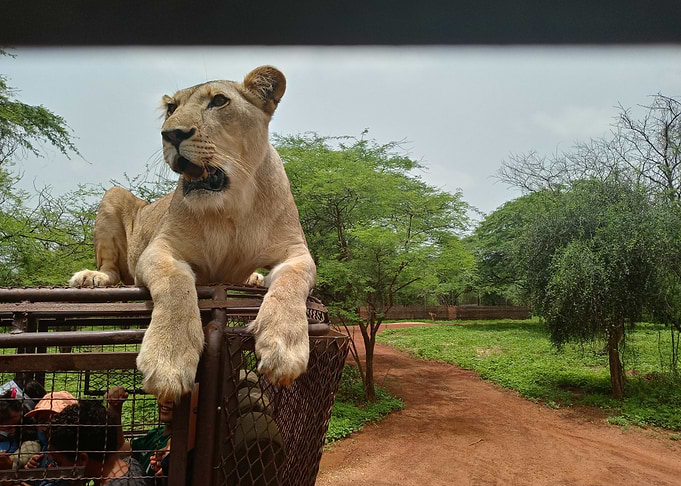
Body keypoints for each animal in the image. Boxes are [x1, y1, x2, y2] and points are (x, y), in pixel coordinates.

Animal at [69, 66, 316, 402]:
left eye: (219, 101)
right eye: (172, 108)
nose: (171, 134)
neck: (232, 206)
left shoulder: (296, 252)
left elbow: (292, 281)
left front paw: (283, 347)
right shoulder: (160, 249)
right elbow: (176, 285)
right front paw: (169, 360)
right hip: (113, 195)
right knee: (113, 270)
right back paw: (92, 277)